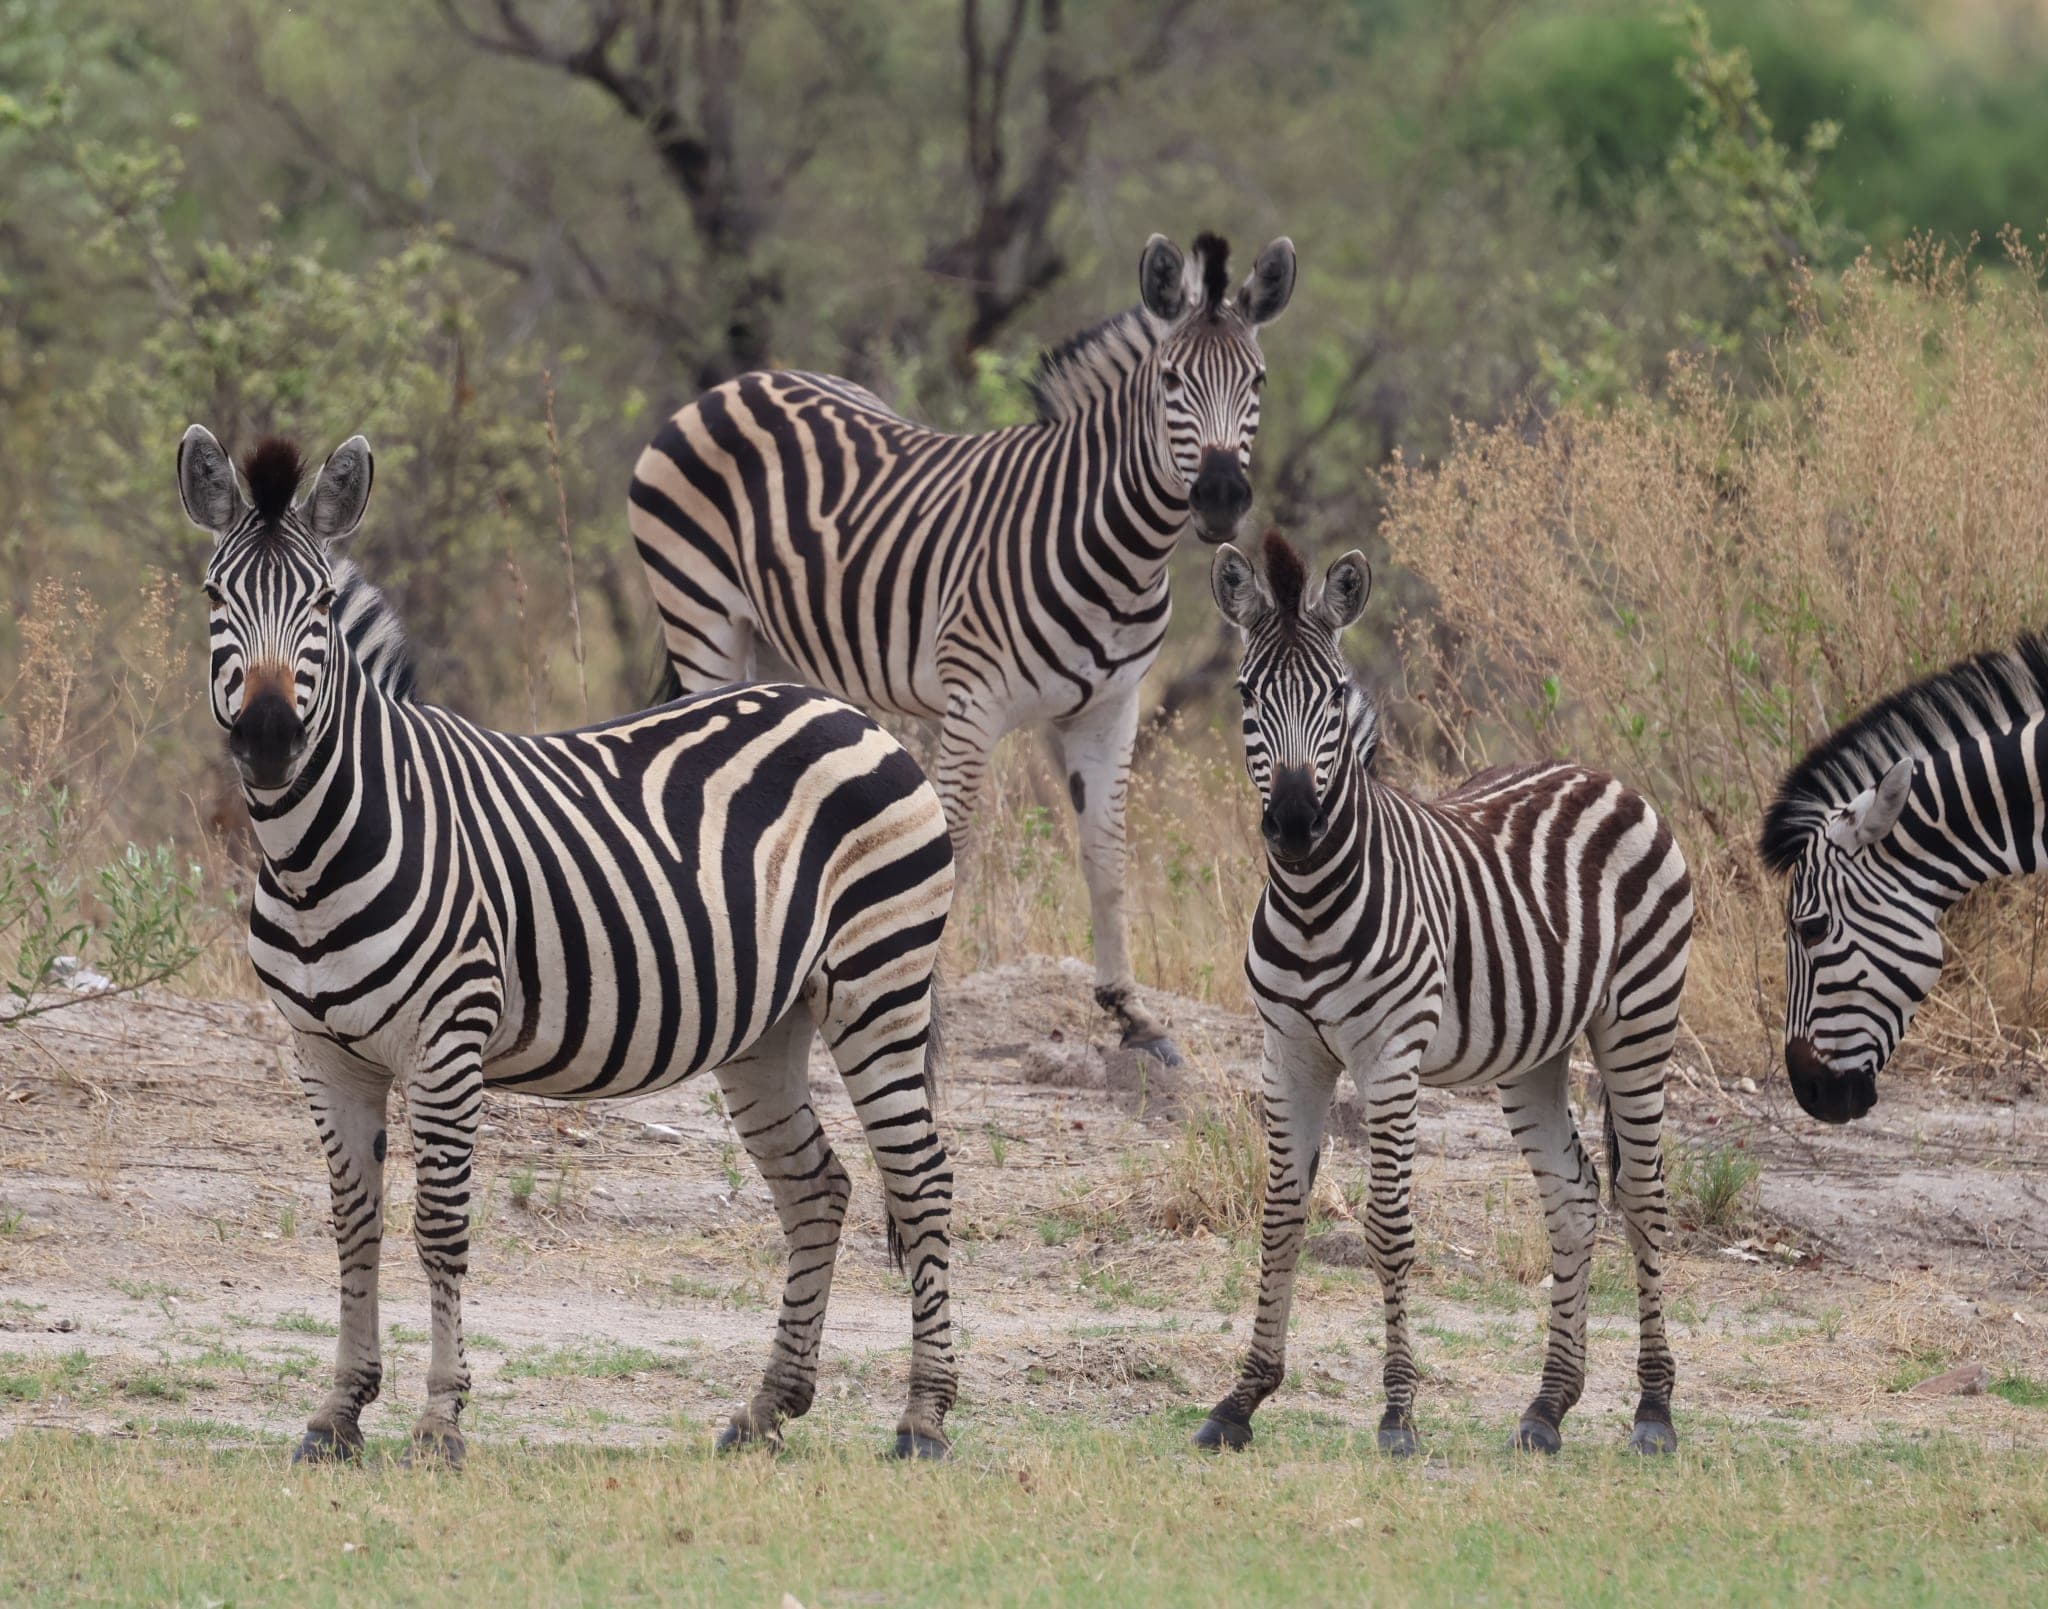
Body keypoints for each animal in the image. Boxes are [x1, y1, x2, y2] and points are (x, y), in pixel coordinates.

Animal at [176, 424, 958, 1465]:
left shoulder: (448, 1040)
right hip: (770, 1025)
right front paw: (337, 1414)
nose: (268, 738)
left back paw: (924, 1418)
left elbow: (438, 1227)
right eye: (214, 597)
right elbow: (353, 1224)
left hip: (881, 980)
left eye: (319, 606)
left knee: (921, 1180)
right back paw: (765, 1408)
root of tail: (851, 713)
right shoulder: (322, 1053)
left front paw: (439, 1422)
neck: (317, 853)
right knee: (817, 1187)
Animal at [630, 230, 1297, 1064]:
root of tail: (732, 385)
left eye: (1259, 380)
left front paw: (1130, 1012)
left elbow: (1105, 854)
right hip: (703, 617)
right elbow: (949, 847)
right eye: (1172, 380)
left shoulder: (1112, 707)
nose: (1220, 498)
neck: (1119, 551)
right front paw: (924, 1017)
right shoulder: (973, 701)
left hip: (788, 650)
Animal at [1194, 532, 1694, 1457]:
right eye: (1247, 693)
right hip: (1535, 1052)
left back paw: (1653, 1411)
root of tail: (1597, 773)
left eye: (1335, 694)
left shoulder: (1390, 1057)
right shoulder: (1287, 1053)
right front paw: (1241, 1400)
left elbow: (1389, 1227)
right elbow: (1280, 1216)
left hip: (1640, 1018)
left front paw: (1397, 1413)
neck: (1311, 900)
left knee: (1643, 1198)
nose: (1294, 823)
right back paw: (1546, 1407)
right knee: (1574, 1197)